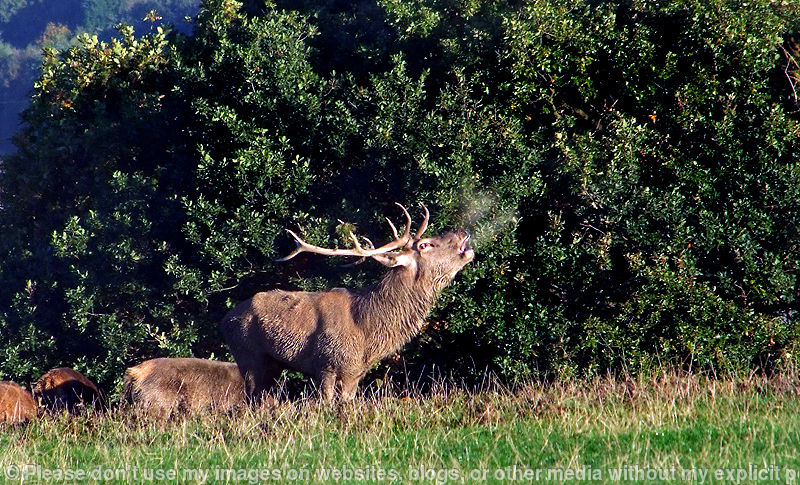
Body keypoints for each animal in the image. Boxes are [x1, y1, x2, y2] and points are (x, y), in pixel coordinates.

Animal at [220, 203, 474, 402]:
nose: (462, 231)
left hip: (271, 364)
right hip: (247, 354)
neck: (367, 332)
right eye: (425, 245)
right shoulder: (326, 363)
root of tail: (226, 318)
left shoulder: (356, 372)